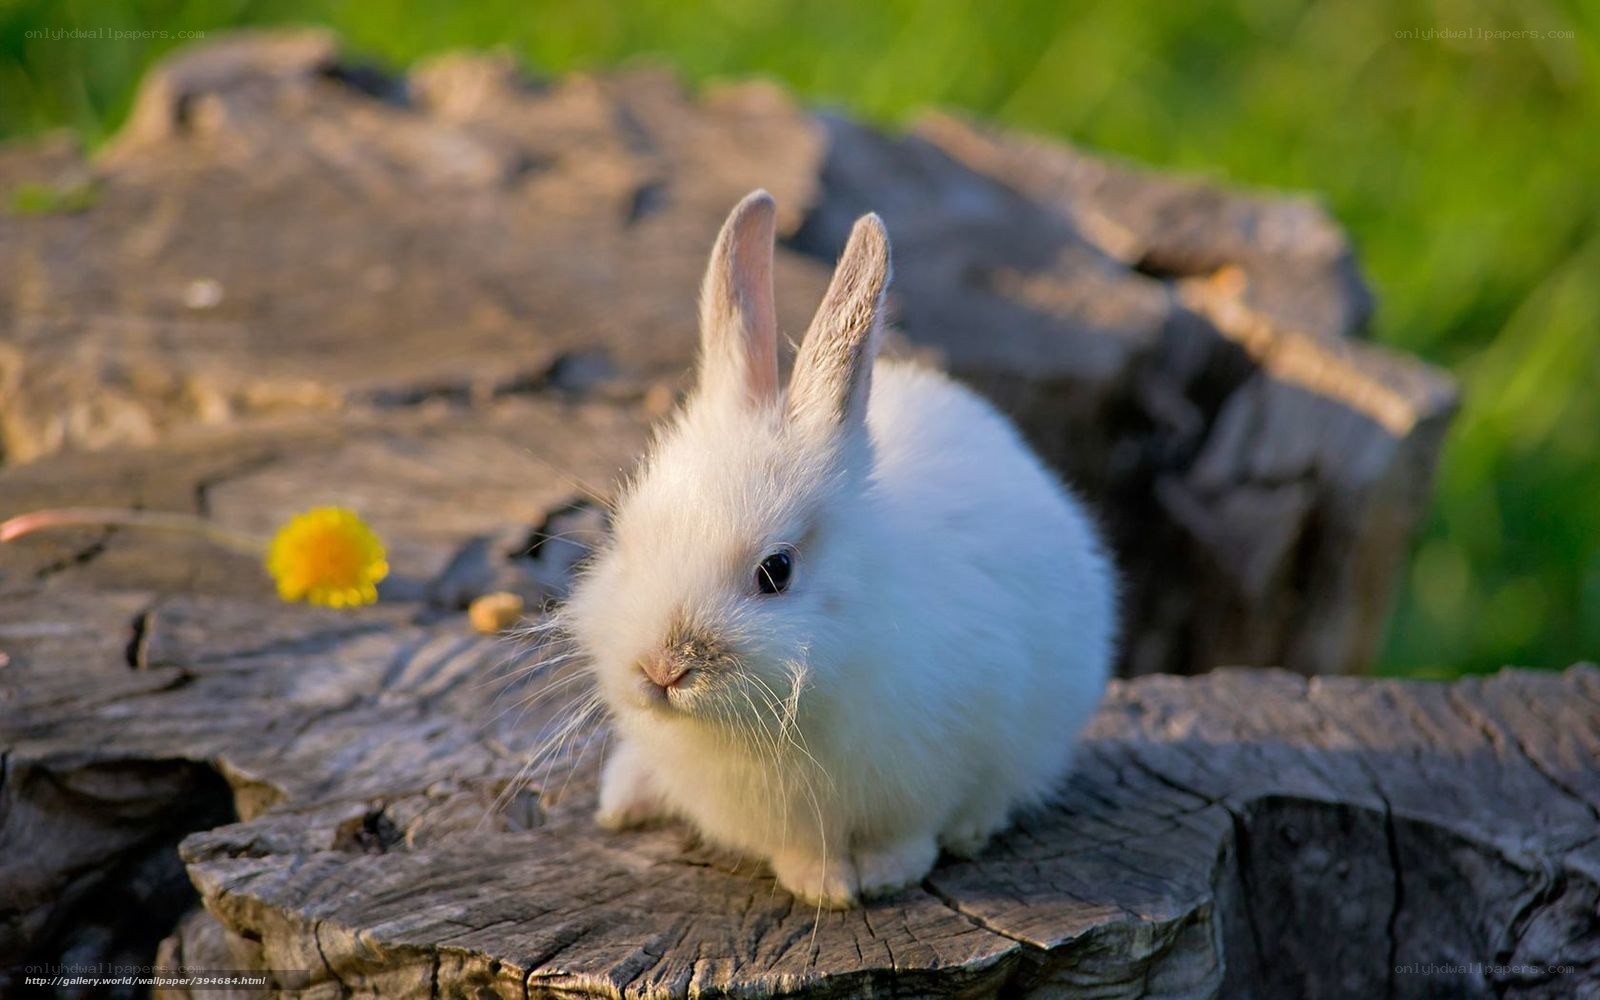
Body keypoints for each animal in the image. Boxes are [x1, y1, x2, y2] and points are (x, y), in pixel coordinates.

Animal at [562, 189, 1117, 908]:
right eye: (625, 538)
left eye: (776, 571)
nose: (661, 669)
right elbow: (803, 849)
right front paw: (821, 885)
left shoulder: (935, 769)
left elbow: (910, 832)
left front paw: (884, 876)